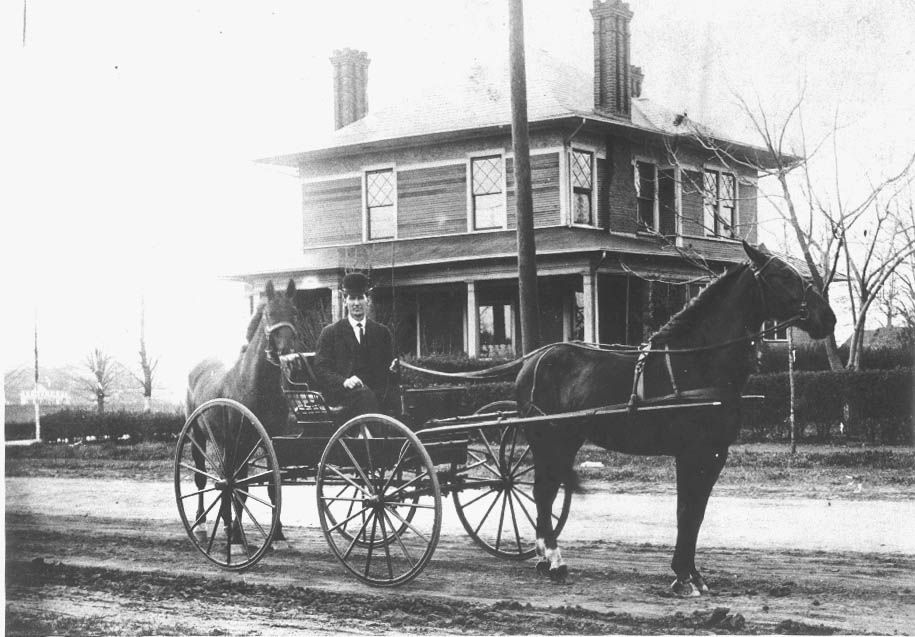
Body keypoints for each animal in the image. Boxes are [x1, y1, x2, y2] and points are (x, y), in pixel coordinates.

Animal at [187, 280, 308, 540]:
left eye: (294, 312)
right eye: (269, 314)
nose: (287, 355)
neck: (255, 385)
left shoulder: (271, 441)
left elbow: (272, 486)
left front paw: (277, 531)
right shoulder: (241, 441)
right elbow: (241, 486)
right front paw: (236, 532)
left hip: (224, 443)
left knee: (224, 476)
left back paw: (224, 520)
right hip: (198, 436)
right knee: (202, 477)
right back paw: (202, 523)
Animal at [516, 243, 836, 596]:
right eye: (783, 275)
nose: (829, 318)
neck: (696, 362)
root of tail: (533, 360)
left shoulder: (714, 454)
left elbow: (696, 513)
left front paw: (694, 575)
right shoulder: (690, 453)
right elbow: (686, 511)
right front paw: (683, 576)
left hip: (563, 441)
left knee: (544, 491)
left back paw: (544, 557)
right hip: (550, 439)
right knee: (544, 493)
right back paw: (554, 560)